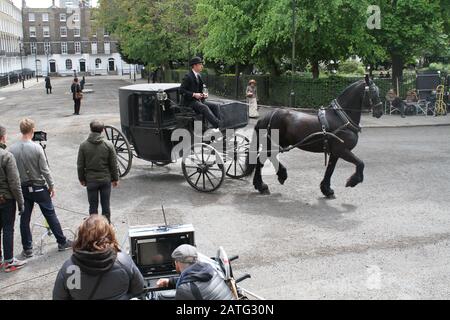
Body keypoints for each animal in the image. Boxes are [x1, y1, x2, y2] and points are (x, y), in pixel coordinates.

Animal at [246, 75, 384, 198]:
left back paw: (271, 179)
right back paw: (265, 183)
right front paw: (353, 181)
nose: (380, 111)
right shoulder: (342, 150)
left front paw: (327, 189)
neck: (341, 118)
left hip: (280, 143)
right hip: (272, 143)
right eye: (373, 91)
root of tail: (267, 116)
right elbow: (360, 163)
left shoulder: (335, 152)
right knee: (262, 160)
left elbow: (330, 170)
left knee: (267, 158)